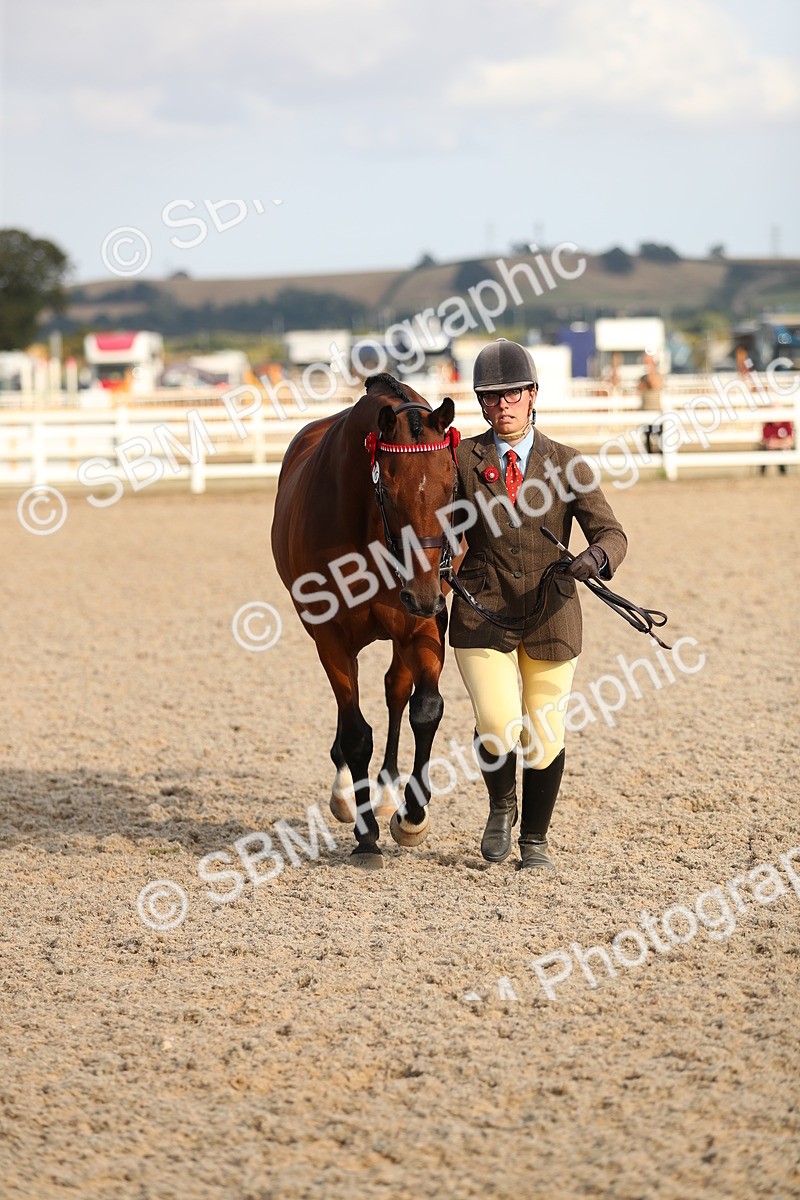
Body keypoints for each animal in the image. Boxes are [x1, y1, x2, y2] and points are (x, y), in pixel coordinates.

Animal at [270, 372, 458, 868]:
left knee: (395, 690)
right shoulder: (331, 634)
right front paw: (366, 834)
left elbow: (425, 709)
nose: (424, 593)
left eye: (452, 487)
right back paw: (345, 793)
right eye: (388, 492)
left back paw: (389, 791)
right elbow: (356, 731)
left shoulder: (422, 627)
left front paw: (412, 816)